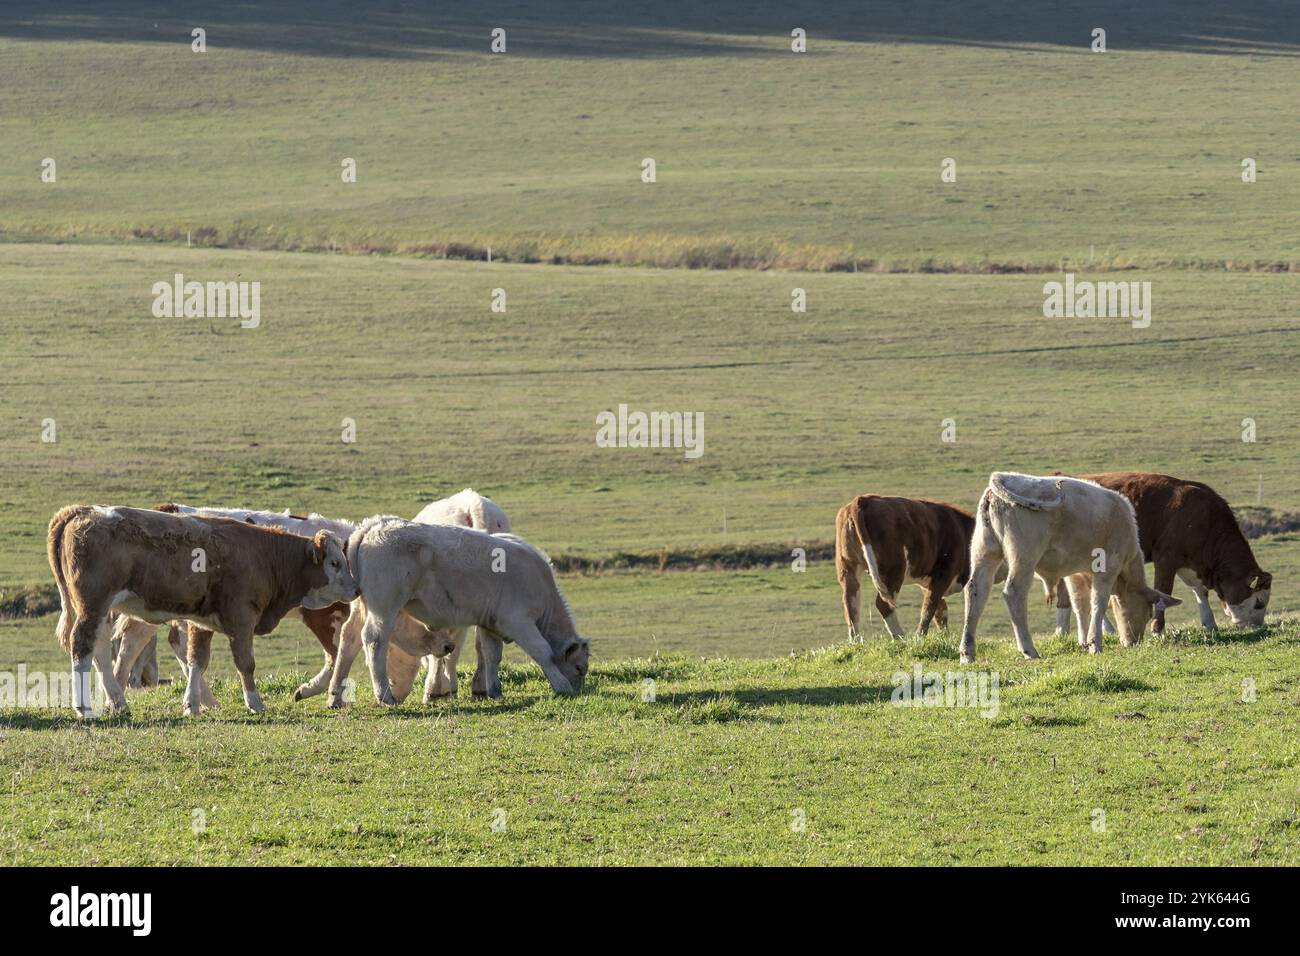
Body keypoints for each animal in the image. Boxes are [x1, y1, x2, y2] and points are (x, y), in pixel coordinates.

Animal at [47, 505, 357, 718]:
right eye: (334, 562)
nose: (356, 590)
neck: (263, 554)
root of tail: (81, 511)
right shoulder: (242, 618)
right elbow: (246, 663)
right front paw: (255, 703)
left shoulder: (202, 622)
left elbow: (197, 659)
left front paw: (192, 704)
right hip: (93, 604)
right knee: (84, 646)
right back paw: (85, 708)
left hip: (100, 610)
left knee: (99, 648)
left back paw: (119, 702)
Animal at [328, 518, 589, 707]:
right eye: (579, 668)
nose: (581, 692)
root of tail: (374, 524)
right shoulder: (518, 621)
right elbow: (542, 652)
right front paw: (561, 685)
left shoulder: (491, 624)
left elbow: (492, 655)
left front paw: (494, 690)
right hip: (385, 606)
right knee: (373, 640)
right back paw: (385, 696)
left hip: (363, 606)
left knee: (349, 640)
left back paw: (336, 696)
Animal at [835, 495, 976, 639]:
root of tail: (861, 500)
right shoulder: (943, 574)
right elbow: (929, 607)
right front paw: (920, 638)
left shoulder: (929, 582)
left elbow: (940, 611)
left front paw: (944, 637)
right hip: (892, 572)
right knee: (883, 604)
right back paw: (900, 638)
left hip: (848, 568)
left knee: (850, 605)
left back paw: (856, 641)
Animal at [960, 473, 1179, 664]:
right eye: (1148, 614)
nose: (1134, 643)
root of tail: (1005, 477)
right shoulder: (1107, 567)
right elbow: (1098, 602)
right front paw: (1095, 644)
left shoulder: (1076, 574)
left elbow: (1080, 604)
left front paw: (1083, 642)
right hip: (1023, 558)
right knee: (1014, 593)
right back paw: (1028, 649)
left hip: (985, 552)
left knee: (975, 592)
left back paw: (967, 653)